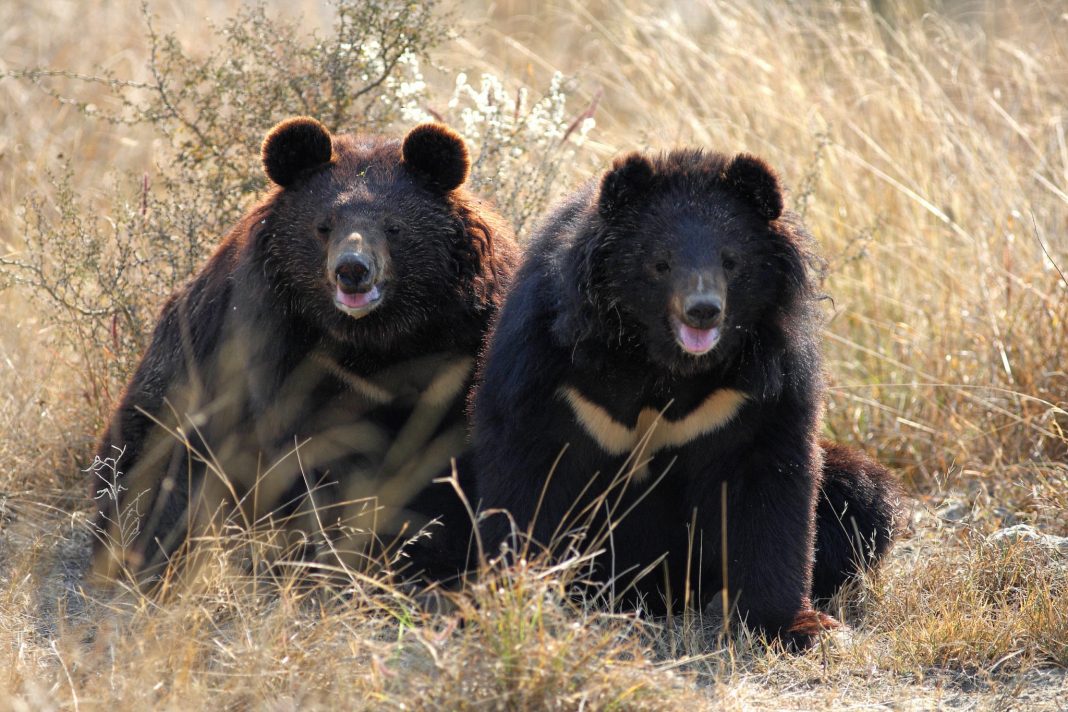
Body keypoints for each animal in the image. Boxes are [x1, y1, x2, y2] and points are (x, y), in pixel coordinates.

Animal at [89, 117, 518, 589]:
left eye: (394, 227)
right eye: (323, 225)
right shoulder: (275, 346)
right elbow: (303, 454)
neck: (374, 339)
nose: (352, 270)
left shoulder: (460, 341)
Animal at [471, 148, 903, 648]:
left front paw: (799, 628)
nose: (702, 310)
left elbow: (771, 488)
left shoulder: (757, 387)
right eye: (660, 264)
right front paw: (517, 596)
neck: (661, 359)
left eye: (731, 262)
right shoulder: (548, 372)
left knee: (864, 496)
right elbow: (526, 475)